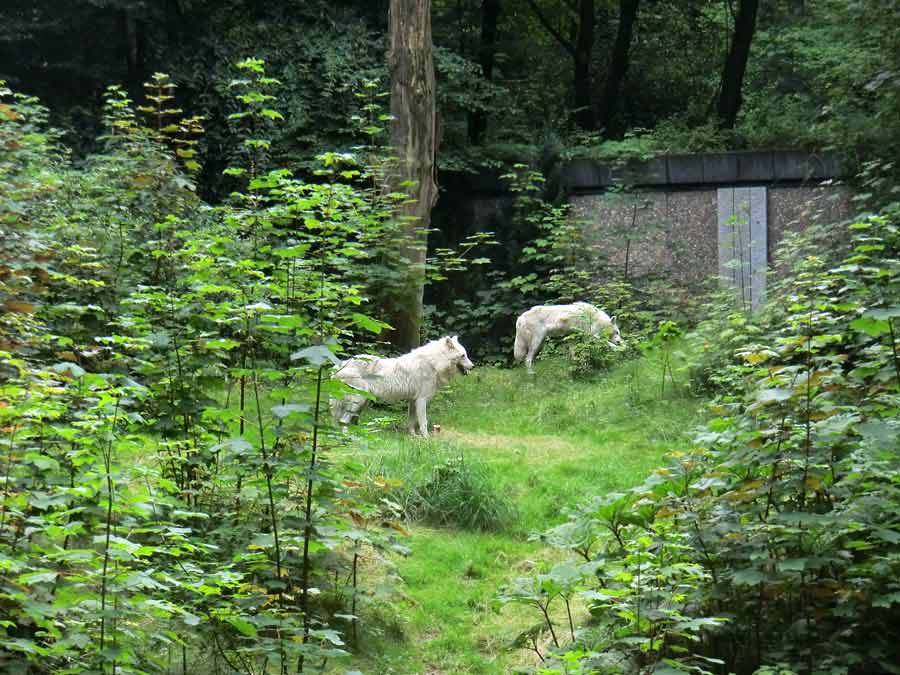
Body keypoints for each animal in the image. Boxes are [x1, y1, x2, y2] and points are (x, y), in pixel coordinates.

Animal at [328, 334, 472, 438]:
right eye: (463, 356)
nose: (473, 366)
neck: (433, 363)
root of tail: (340, 365)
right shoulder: (421, 400)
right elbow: (423, 422)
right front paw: (426, 439)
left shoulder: (413, 401)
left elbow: (412, 422)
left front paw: (414, 436)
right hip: (358, 400)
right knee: (343, 420)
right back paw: (346, 436)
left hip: (363, 402)